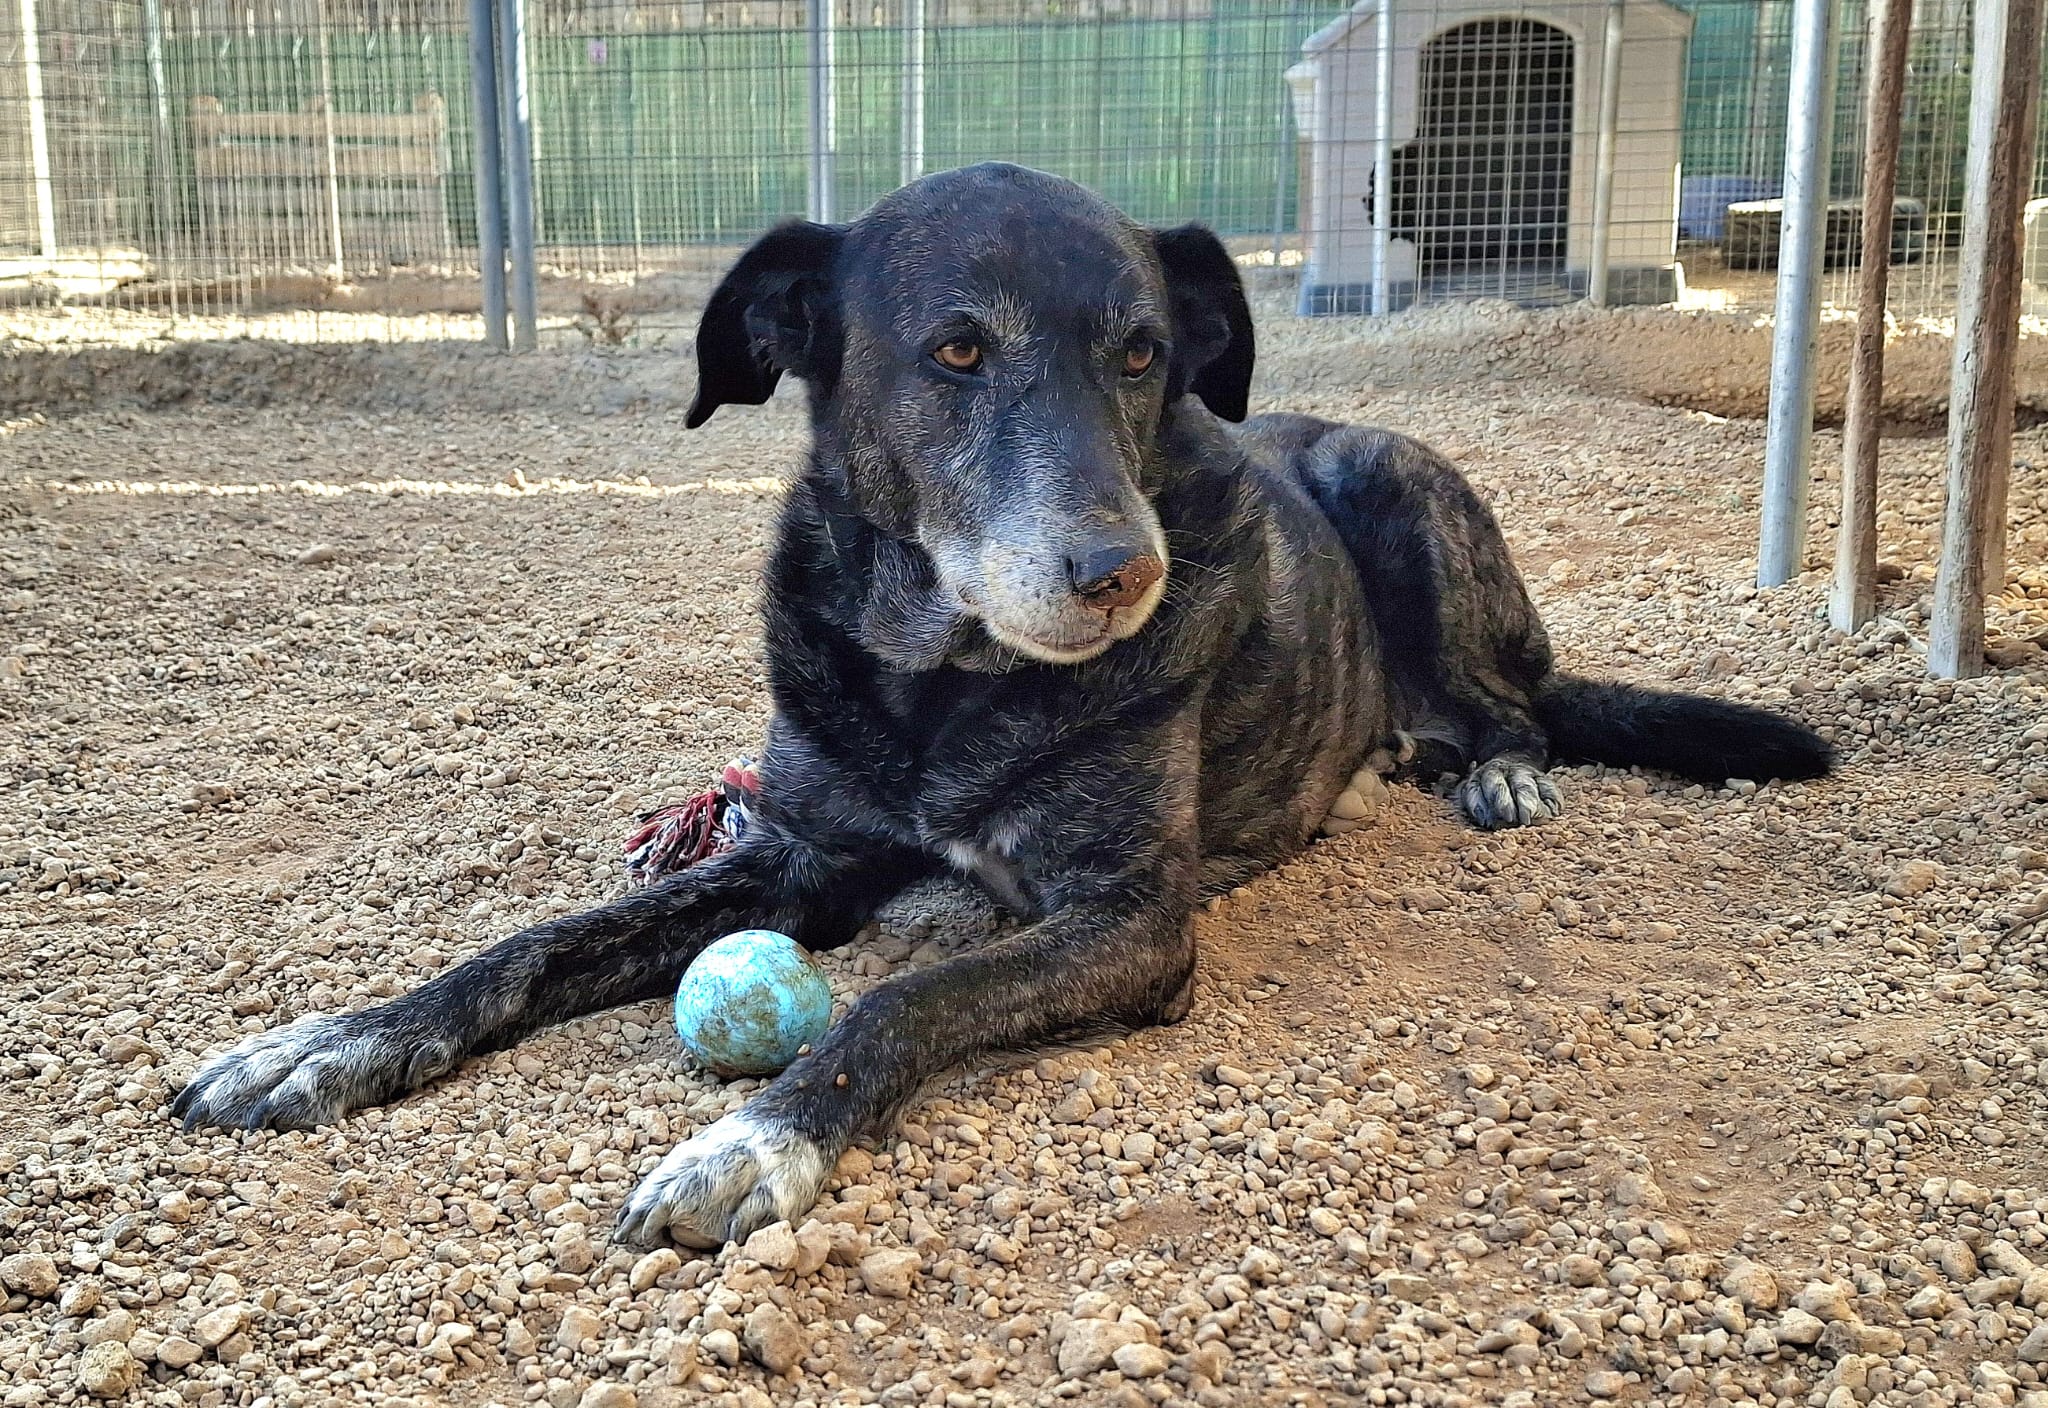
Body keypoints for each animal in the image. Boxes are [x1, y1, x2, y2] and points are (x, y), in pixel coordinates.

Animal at [172, 163, 1831, 1248]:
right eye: (958, 349)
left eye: (1145, 353)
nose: (1124, 572)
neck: (937, 685)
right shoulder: (802, 855)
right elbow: (532, 944)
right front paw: (336, 1040)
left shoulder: (1124, 921)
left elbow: (903, 998)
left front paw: (753, 1141)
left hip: (1392, 476)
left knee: (1521, 704)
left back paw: (1491, 766)